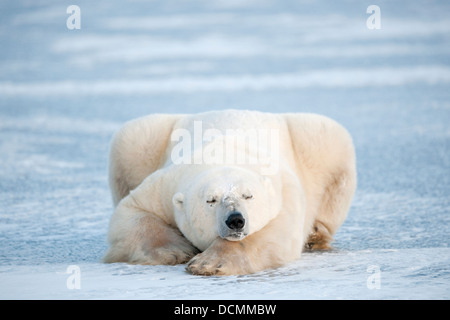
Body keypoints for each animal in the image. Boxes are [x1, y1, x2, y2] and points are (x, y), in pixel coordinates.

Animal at [102, 110, 356, 276]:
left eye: (248, 195)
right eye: (211, 200)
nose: (236, 220)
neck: (223, 153)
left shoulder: (283, 189)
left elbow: (277, 230)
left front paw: (209, 263)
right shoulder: (165, 184)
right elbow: (132, 210)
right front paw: (176, 251)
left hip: (315, 139)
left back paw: (315, 235)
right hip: (146, 139)